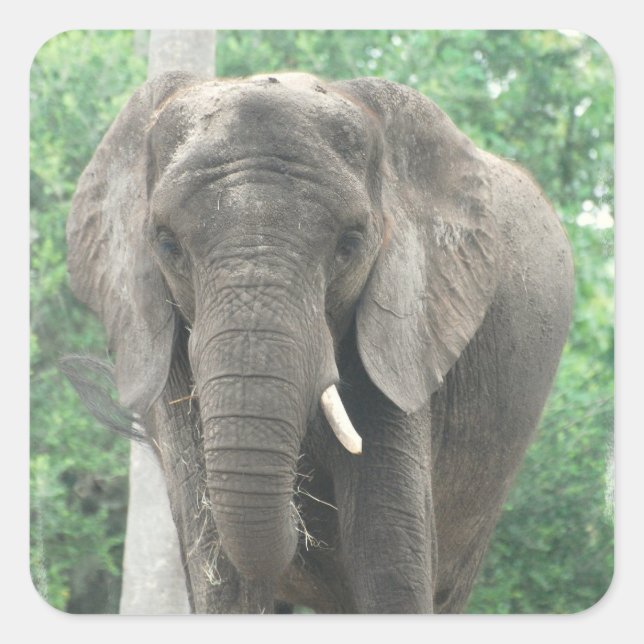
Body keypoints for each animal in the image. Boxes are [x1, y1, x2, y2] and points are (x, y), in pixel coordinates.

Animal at [63, 71, 574, 614]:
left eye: (350, 245)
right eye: (167, 245)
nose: (305, 534)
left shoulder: (405, 333)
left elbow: (389, 556)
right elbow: (222, 575)